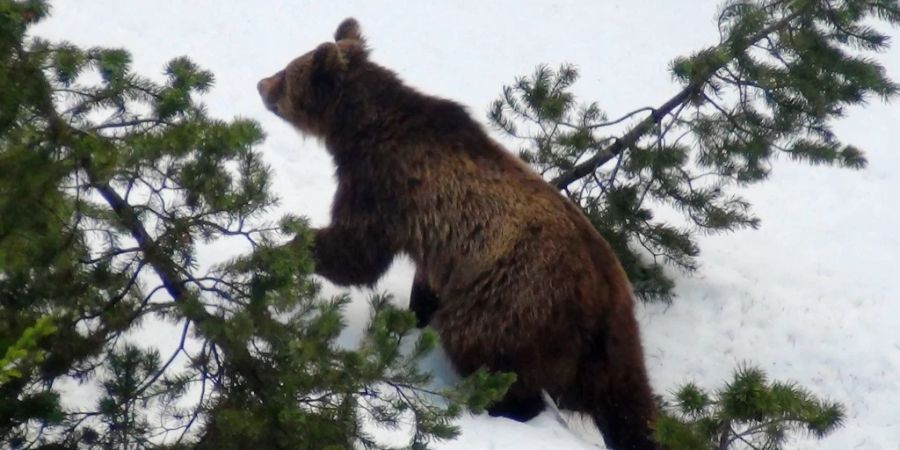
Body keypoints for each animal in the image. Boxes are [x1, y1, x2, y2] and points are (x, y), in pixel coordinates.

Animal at [260, 19, 660, 448]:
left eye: (287, 73)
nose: (261, 84)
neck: (361, 129)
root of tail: (602, 294)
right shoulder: (438, 240)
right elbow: (421, 283)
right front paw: (411, 316)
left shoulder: (383, 184)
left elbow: (355, 253)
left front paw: (283, 249)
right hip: (612, 343)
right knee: (627, 401)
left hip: (512, 300)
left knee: (485, 350)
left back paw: (496, 406)